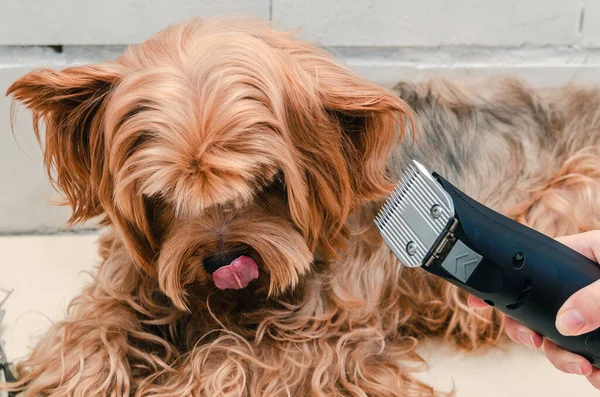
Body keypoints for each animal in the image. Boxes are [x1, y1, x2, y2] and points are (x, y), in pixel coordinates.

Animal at [4, 15, 600, 396]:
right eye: (161, 196)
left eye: (269, 182)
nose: (223, 262)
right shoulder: (142, 269)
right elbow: (98, 321)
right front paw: (75, 372)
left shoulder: (331, 332)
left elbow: (235, 359)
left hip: (570, 193)